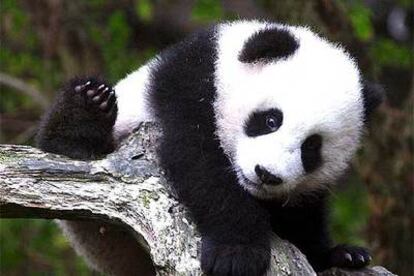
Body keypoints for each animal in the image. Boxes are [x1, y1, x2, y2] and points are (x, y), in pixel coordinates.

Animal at [37, 20, 384, 274]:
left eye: (312, 148)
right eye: (271, 120)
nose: (266, 174)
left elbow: (304, 213)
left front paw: (341, 254)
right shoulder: (192, 84)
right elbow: (201, 165)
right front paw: (237, 254)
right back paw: (86, 110)